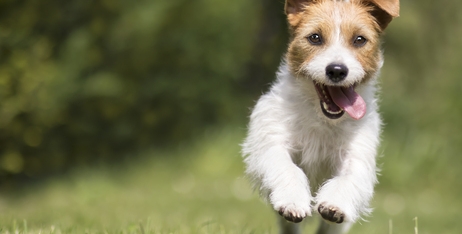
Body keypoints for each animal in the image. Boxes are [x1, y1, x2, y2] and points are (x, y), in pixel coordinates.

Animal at [244, 0, 398, 233]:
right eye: (315, 37)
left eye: (359, 39)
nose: (337, 70)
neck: (321, 118)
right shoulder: (272, 139)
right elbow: (288, 167)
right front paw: (292, 200)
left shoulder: (356, 154)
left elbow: (348, 178)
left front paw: (335, 205)